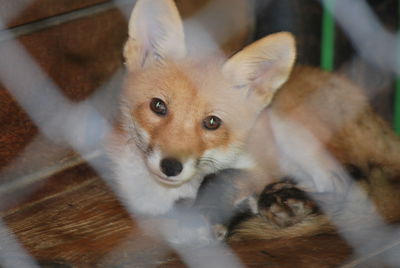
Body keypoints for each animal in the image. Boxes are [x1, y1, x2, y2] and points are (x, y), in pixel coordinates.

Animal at [108, 0, 400, 241]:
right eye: (158, 106)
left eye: (212, 122)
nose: (171, 167)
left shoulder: (262, 166)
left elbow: (221, 176)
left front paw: (211, 215)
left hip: (293, 132)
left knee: (345, 184)